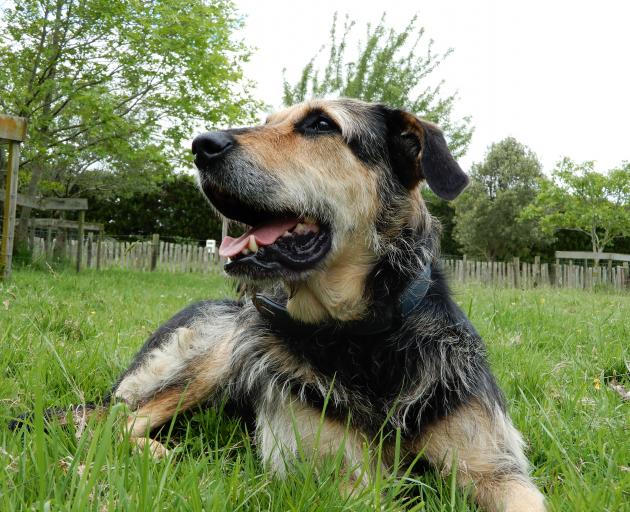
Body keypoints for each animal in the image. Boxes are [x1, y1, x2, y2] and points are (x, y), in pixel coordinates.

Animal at [25, 98, 548, 510]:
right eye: (266, 120)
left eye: (320, 124)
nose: (201, 144)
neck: (366, 337)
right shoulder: (334, 478)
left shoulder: (497, 469)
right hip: (210, 359)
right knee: (111, 422)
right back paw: (152, 455)